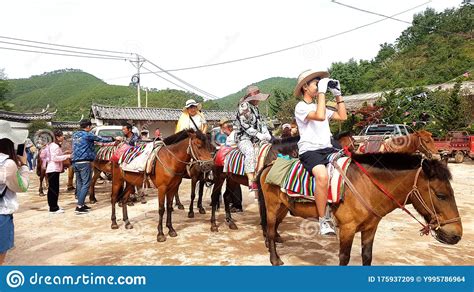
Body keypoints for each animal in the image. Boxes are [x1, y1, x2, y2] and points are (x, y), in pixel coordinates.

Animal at [260, 152, 462, 266]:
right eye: (441, 195)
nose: (456, 235)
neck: (367, 187)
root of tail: (268, 166)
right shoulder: (347, 229)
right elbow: (344, 258)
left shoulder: (370, 229)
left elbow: (367, 256)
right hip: (272, 208)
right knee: (269, 230)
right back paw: (274, 259)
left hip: (283, 208)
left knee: (274, 228)